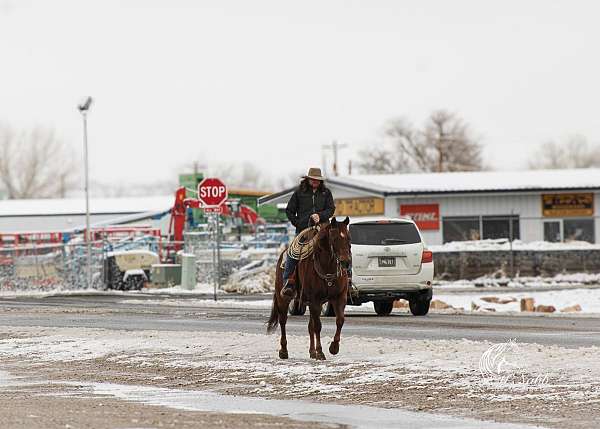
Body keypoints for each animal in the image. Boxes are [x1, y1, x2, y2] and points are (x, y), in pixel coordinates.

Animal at [268, 216, 352, 360]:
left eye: (348, 238)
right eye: (335, 239)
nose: (346, 262)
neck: (326, 268)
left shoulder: (339, 297)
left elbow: (340, 320)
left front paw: (333, 348)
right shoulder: (315, 300)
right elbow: (318, 326)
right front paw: (320, 352)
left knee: (309, 326)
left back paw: (311, 352)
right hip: (282, 298)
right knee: (283, 321)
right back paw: (284, 351)